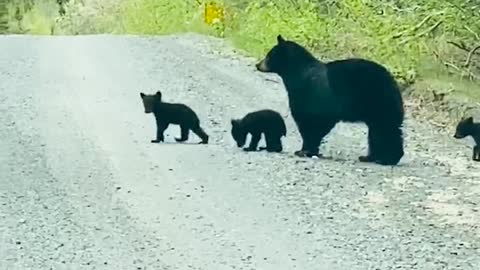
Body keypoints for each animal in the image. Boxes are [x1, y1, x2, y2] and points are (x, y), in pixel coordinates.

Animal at [255, 34, 404, 166]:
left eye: (269, 55)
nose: (257, 65)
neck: (296, 74)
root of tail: (392, 81)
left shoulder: (308, 95)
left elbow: (309, 123)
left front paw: (304, 150)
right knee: (377, 132)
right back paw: (370, 157)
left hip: (379, 103)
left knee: (385, 128)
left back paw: (387, 159)